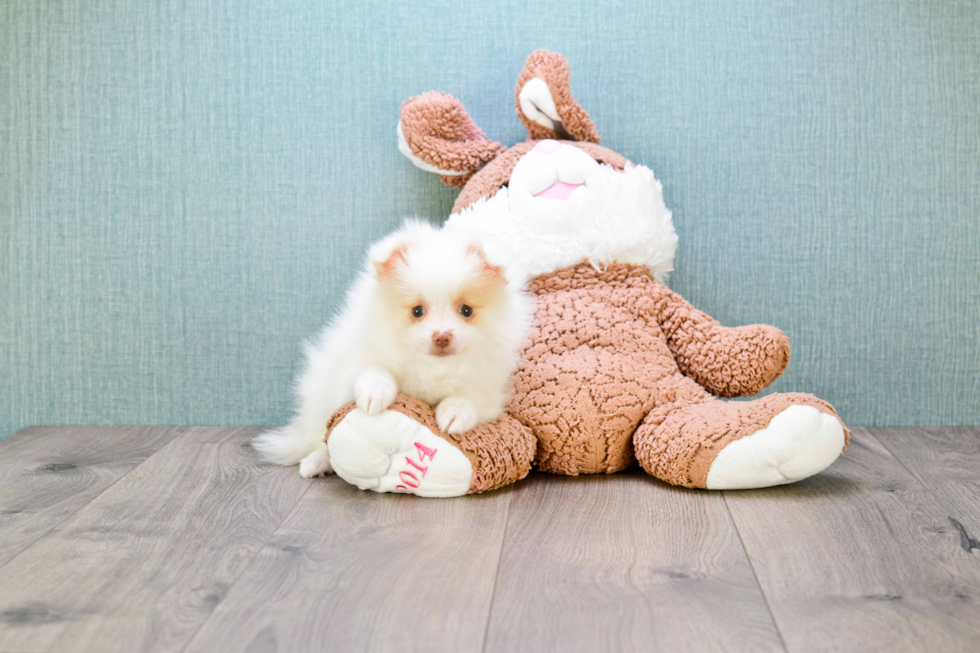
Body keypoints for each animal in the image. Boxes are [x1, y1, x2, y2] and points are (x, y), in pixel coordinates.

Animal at [253, 222, 528, 476]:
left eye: (466, 310)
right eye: (417, 311)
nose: (441, 336)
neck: (432, 367)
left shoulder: (489, 390)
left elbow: (470, 397)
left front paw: (454, 412)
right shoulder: (354, 364)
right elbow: (372, 371)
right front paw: (375, 393)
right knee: (320, 437)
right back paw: (317, 462)